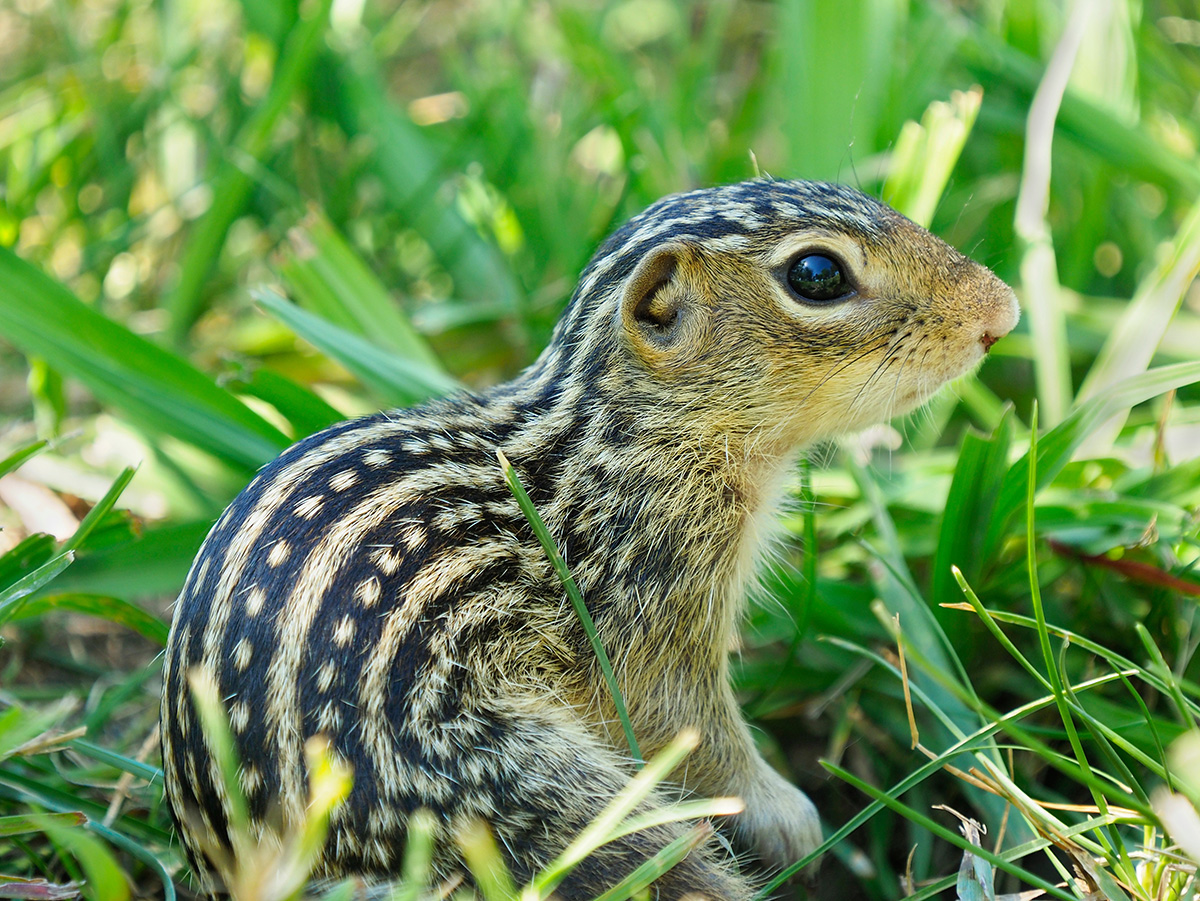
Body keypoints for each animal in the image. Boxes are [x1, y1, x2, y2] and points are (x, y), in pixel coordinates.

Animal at [162, 179, 1022, 897]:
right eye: (817, 274)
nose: (1003, 311)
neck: (621, 433)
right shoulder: (650, 598)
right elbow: (694, 730)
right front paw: (790, 815)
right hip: (520, 802)